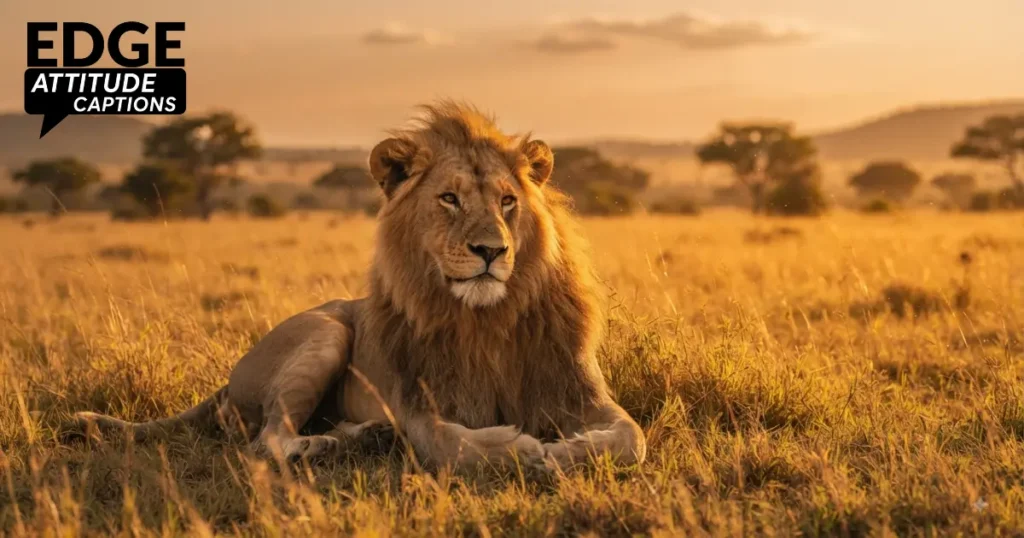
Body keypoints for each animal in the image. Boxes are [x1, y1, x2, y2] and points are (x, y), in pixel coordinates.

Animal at [67, 101, 647, 471]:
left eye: (508, 202)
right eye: (449, 199)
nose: (491, 251)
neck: (488, 319)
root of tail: (226, 383)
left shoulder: (578, 388)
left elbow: (631, 437)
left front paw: (566, 451)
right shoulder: (421, 404)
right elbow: (452, 445)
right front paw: (520, 449)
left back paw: (362, 436)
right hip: (324, 332)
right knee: (266, 441)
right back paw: (326, 447)